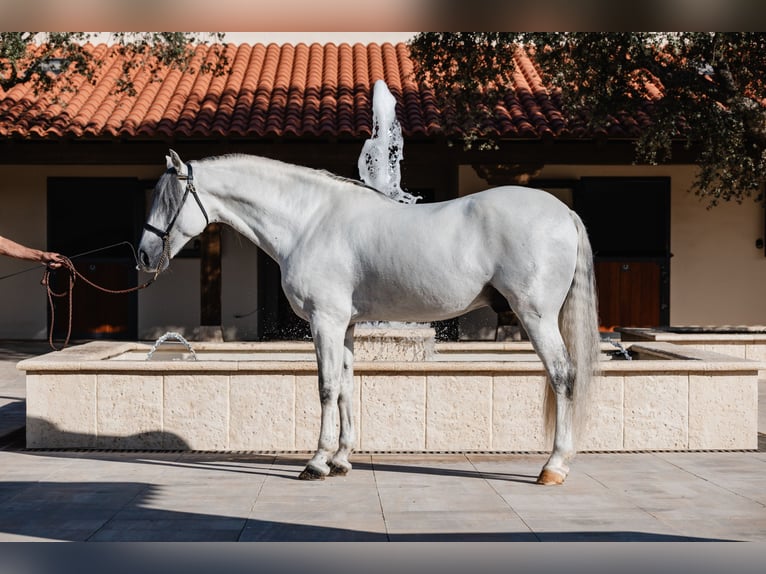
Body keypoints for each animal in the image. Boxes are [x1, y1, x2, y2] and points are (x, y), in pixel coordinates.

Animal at [141, 150, 604, 486]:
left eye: (168, 199)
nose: (144, 255)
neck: (308, 221)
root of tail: (564, 213)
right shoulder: (344, 324)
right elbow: (347, 386)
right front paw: (341, 460)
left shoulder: (324, 320)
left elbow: (327, 388)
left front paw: (316, 462)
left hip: (536, 316)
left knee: (563, 376)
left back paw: (553, 467)